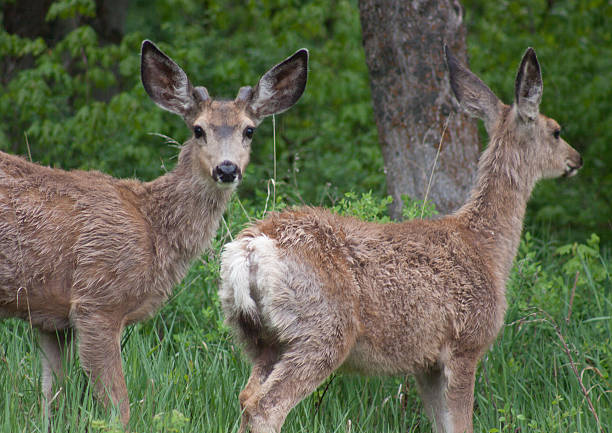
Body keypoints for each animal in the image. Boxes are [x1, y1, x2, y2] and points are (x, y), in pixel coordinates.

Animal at [0, 38, 308, 424]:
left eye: (249, 130)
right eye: (198, 129)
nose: (226, 169)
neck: (152, 226)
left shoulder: (49, 318)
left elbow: (50, 401)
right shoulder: (97, 301)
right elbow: (119, 408)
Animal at [219, 45, 584, 430]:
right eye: (556, 131)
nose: (576, 159)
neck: (488, 247)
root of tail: (250, 247)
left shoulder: (425, 362)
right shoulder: (465, 343)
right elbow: (461, 423)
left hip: (258, 337)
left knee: (246, 395)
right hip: (321, 329)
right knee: (266, 405)